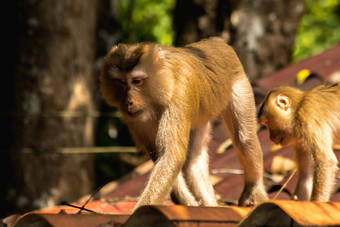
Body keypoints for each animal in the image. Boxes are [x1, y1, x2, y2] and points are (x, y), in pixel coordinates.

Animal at [100, 37, 268, 209]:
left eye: (136, 81)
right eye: (121, 82)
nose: (128, 101)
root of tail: (216, 41)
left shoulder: (179, 95)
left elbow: (171, 155)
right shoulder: (136, 118)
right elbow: (161, 154)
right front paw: (186, 201)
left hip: (239, 81)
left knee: (245, 138)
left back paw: (253, 188)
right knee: (193, 162)